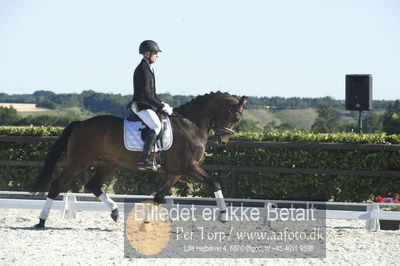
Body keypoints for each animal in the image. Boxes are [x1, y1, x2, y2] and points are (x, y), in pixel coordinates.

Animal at [32, 92, 247, 228]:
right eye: (234, 116)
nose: (222, 141)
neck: (191, 124)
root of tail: (81, 124)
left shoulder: (175, 173)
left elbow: (158, 198)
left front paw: (145, 223)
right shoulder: (188, 167)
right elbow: (215, 183)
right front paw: (224, 215)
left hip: (108, 164)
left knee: (93, 185)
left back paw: (115, 212)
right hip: (79, 162)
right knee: (57, 185)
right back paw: (41, 221)